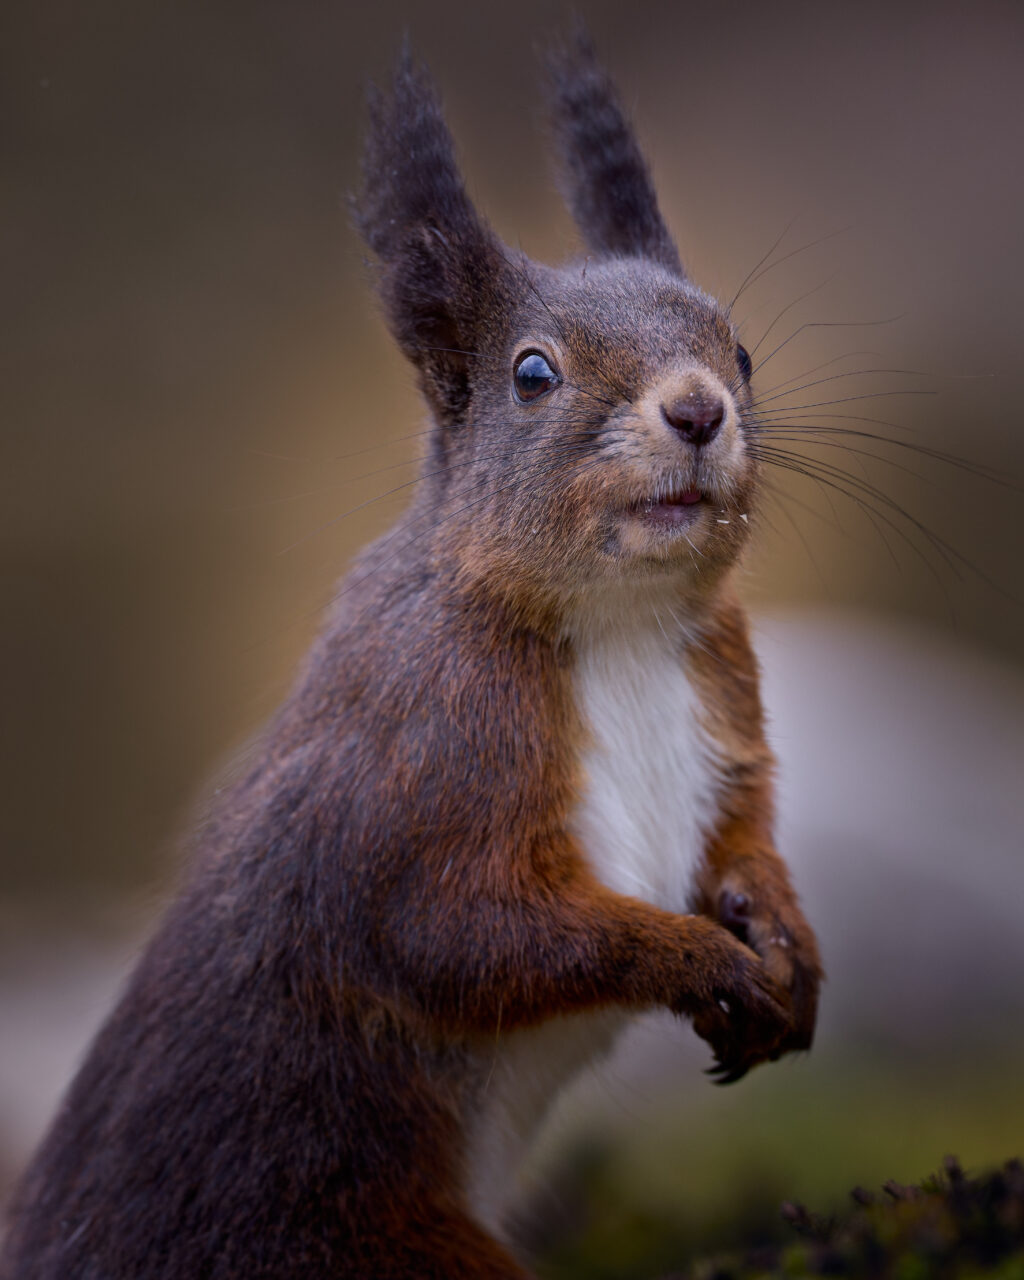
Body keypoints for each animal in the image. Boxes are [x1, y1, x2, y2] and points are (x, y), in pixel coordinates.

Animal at [0, 35, 822, 1280]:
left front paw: (788, 944)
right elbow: (463, 935)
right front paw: (701, 958)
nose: (698, 409)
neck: (620, 619)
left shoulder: (725, 702)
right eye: (532, 373)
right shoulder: (421, 763)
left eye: (737, 348)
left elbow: (744, 835)